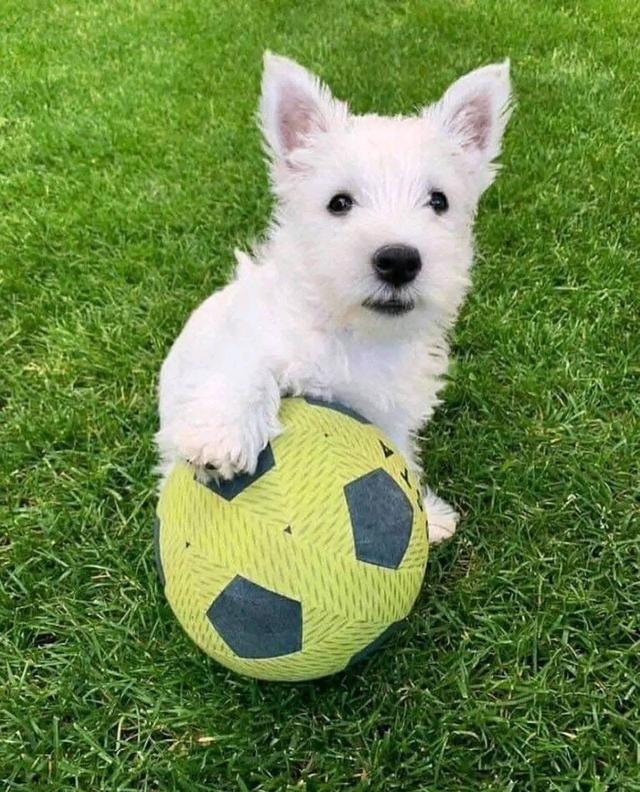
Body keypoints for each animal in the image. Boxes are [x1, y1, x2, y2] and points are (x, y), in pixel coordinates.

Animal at [158, 52, 512, 540]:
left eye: (439, 201)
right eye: (339, 202)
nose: (399, 260)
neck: (353, 330)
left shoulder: (388, 412)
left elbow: (400, 455)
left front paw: (426, 513)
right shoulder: (250, 335)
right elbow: (247, 368)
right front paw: (222, 435)